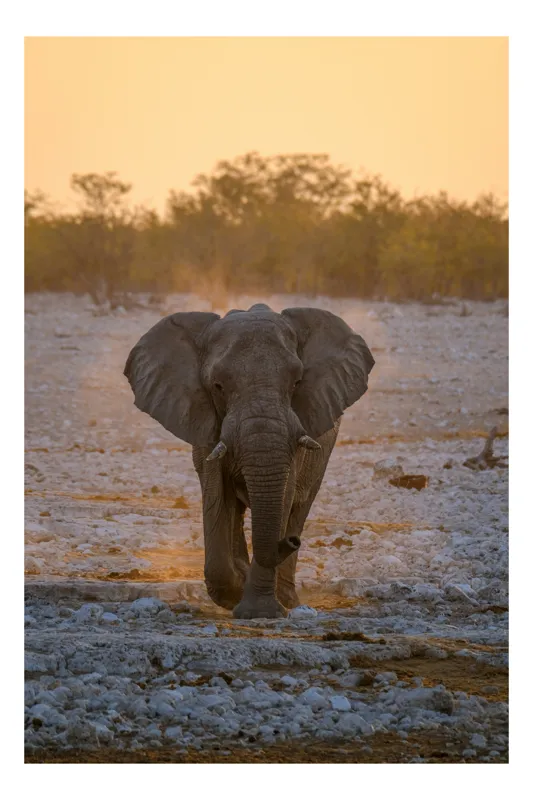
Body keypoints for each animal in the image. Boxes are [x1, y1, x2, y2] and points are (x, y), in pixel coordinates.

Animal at [124, 303, 374, 619]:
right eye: (217, 386)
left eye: (297, 382)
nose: (291, 542)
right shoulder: (206, 423)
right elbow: (216, 493)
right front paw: (235, 593)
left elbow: (284, 494)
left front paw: (260, 611)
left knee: (300, 506)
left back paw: (287, 598)